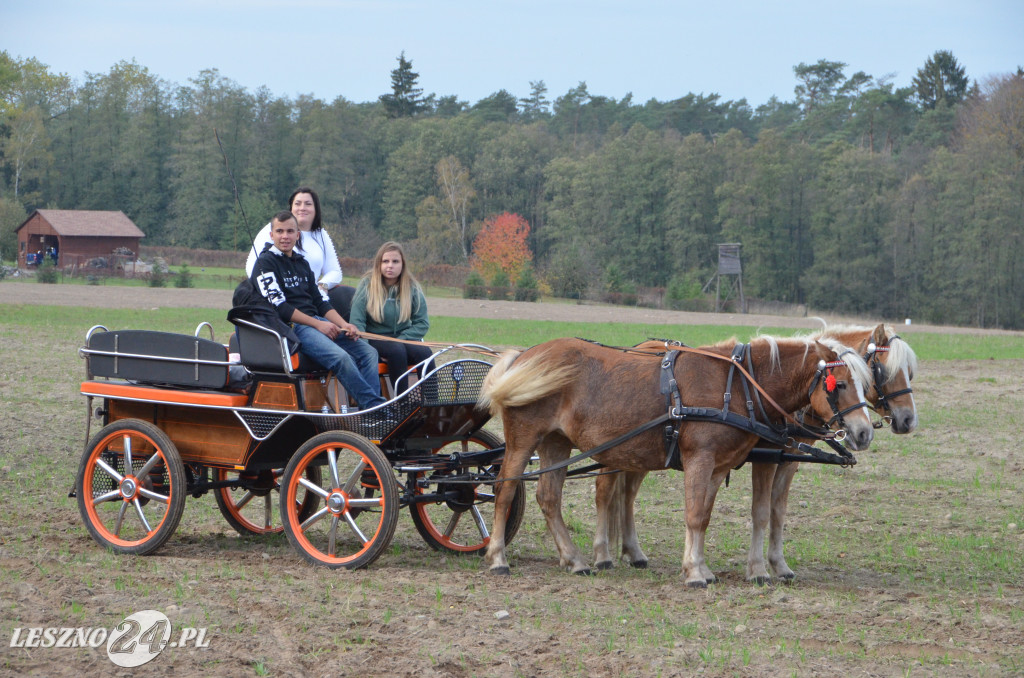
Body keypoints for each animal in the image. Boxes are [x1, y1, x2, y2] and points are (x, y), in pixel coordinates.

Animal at [477, 337, 872, 585]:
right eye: (839, 384)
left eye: (865, 383)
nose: (865, 432)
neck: (738, 386)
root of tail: (523, 358)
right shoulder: (702, 458)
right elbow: (697, 515)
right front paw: (696, 573)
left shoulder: (718, 466)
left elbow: (706, 515)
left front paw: (702, 568)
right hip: (524, 439)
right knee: (505, 491)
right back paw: (497, 558)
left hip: (557, 443)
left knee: (550, 498)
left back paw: (575, 561)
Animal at [598, 323, 917, 585]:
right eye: (883, 371)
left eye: (909, 372)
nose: (908, 420)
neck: (758, 391)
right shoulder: (765, 458)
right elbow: (761, 512)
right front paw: (757, 570)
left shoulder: (786, 461)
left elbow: (778, 511)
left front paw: (779, 565)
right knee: (606, 490)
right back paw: (603, 556)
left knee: (627, 495)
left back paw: (633, 552)